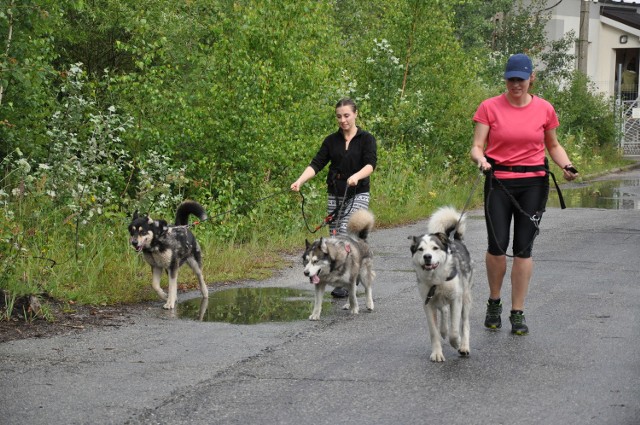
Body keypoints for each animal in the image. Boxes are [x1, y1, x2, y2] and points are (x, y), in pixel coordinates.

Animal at [408, 206, 472, 362]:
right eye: (420, 249)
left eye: (435, 248)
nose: (427, 257)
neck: (436, 279)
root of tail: (456, 239)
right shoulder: (428, 304)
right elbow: (434, 332)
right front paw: (437, 353)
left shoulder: (456, 299)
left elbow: (455, 329)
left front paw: (456, 343)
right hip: (438, 299)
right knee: (444, 311)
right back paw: (443, 330)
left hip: (466, 297)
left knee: (465, 322)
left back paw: (464, 346)